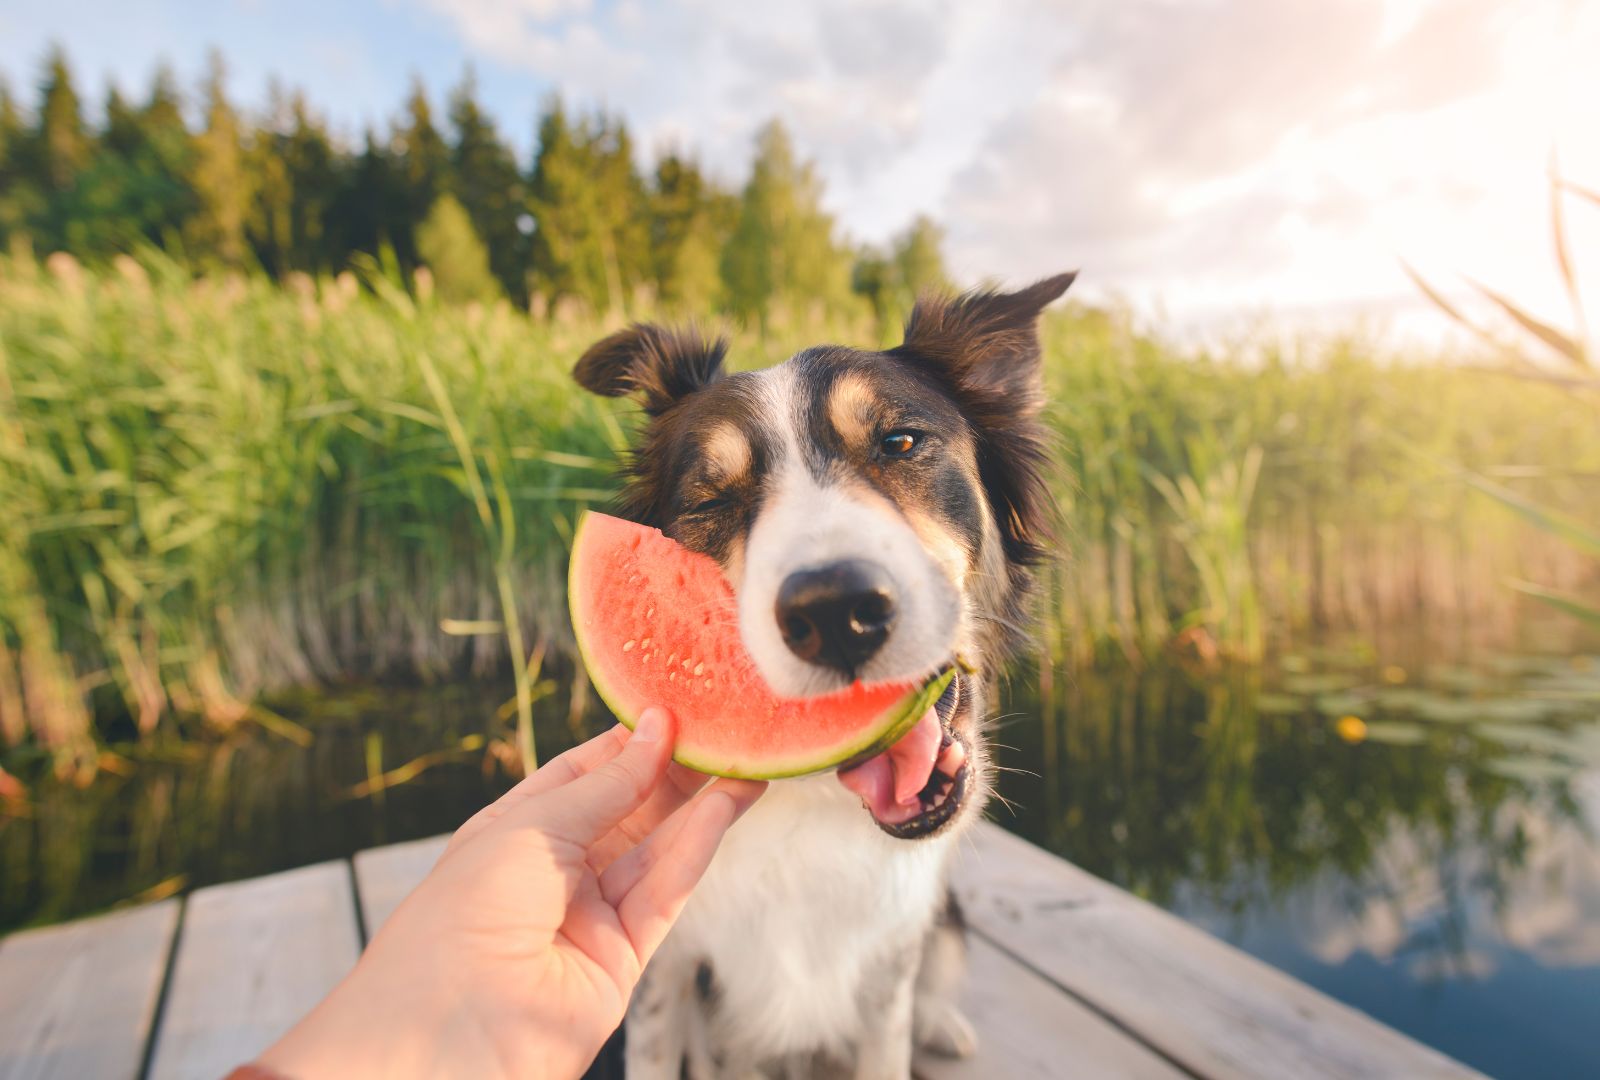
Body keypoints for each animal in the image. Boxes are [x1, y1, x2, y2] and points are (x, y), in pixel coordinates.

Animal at [572, 272, 1075, 1080]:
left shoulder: (888, 973)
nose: (835, 610)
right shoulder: (663, 972)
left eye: (900, 443)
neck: (810, 804)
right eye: (712, 499)